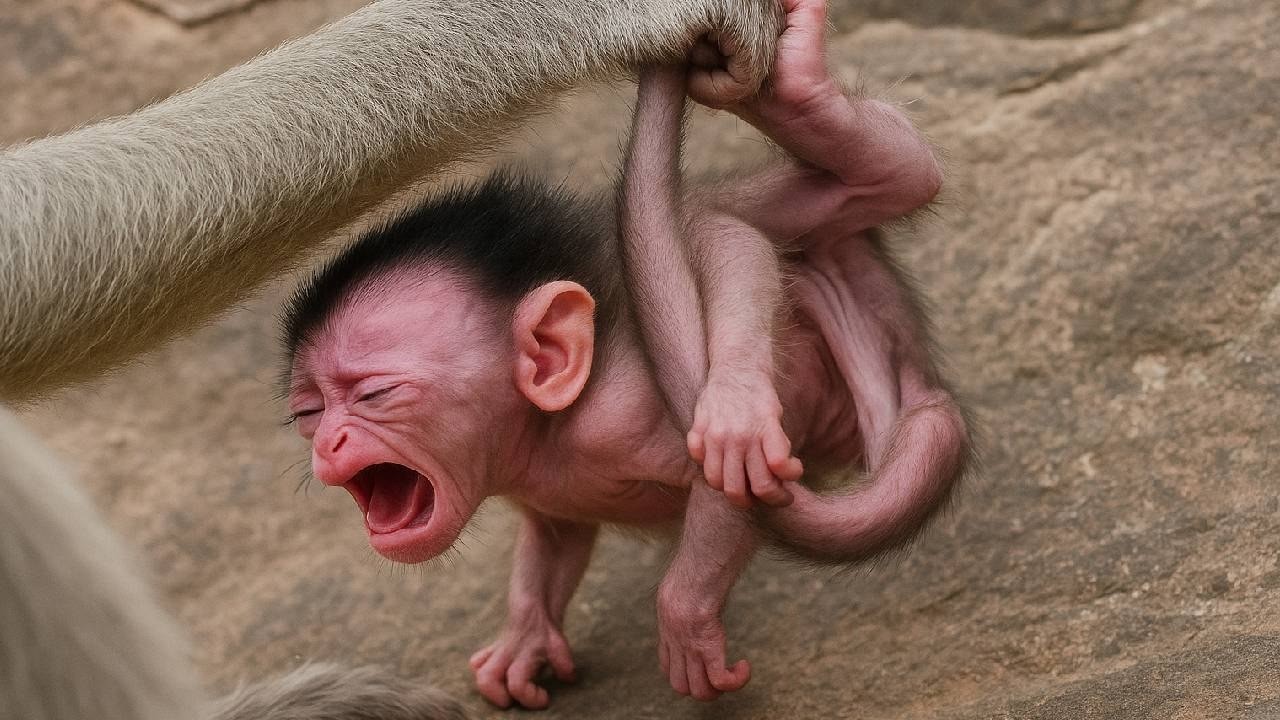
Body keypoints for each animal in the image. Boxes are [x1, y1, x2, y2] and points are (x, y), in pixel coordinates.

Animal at [279, 0, 971, 708]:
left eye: (375, 394)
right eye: (308, 413)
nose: (327, 443)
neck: (549, 435)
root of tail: (904, 341)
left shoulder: (621, 418)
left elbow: (728, 494)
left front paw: (686, 617)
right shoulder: (534, 485)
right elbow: (554, 537)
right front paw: (525, 639)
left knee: (751, 227)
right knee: (813, 199)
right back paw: (797, 93)